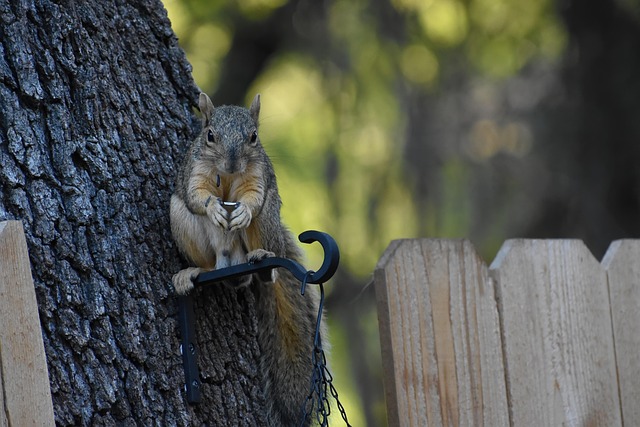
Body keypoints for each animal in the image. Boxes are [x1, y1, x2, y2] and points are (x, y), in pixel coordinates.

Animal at [170, 92, 322, 425]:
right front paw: (213, 207)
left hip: (267, 223)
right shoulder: (194, 171)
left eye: (253, 137)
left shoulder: (257, 174)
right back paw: (191, 272)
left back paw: (262, 259)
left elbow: (253, 195)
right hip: (180, 219)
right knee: (207, 260)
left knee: (262, 264)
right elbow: (196, 194)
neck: (227, 176)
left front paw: (242, 212)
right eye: (210, 135)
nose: (230, 162)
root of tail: (231, 262)